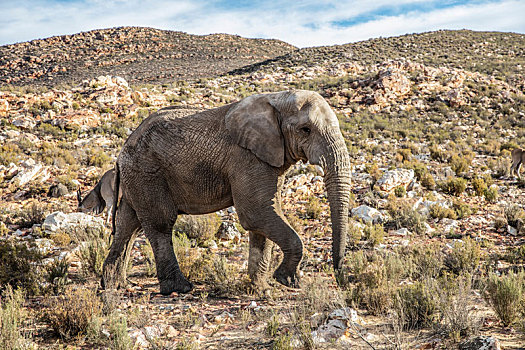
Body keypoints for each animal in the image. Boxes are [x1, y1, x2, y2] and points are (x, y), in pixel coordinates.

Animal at [102, 91, 350, 296]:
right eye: (305, 130)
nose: (340, 277)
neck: (278, 99)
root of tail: (121, 152)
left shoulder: (268, 159)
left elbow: (266, 217)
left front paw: (261, 289)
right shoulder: (247, 158)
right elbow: (256, 213)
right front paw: (287, 280)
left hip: (137, 178)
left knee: (128, 225)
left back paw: (115, 285)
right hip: (147, 173)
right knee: (160, 224)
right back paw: (180, 289)